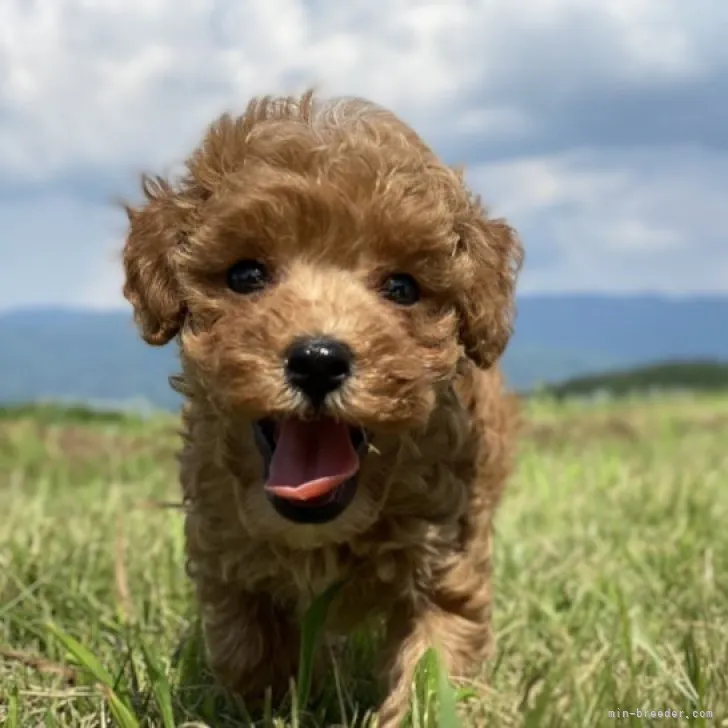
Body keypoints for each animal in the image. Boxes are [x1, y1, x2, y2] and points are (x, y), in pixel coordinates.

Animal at [123, 92, 524, 728]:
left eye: (403, 288)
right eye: (245, 274)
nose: (317, 360)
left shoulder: (448, 550)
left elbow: (433, 664)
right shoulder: (222, 543)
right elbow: (245, 646)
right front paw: (270, 704)